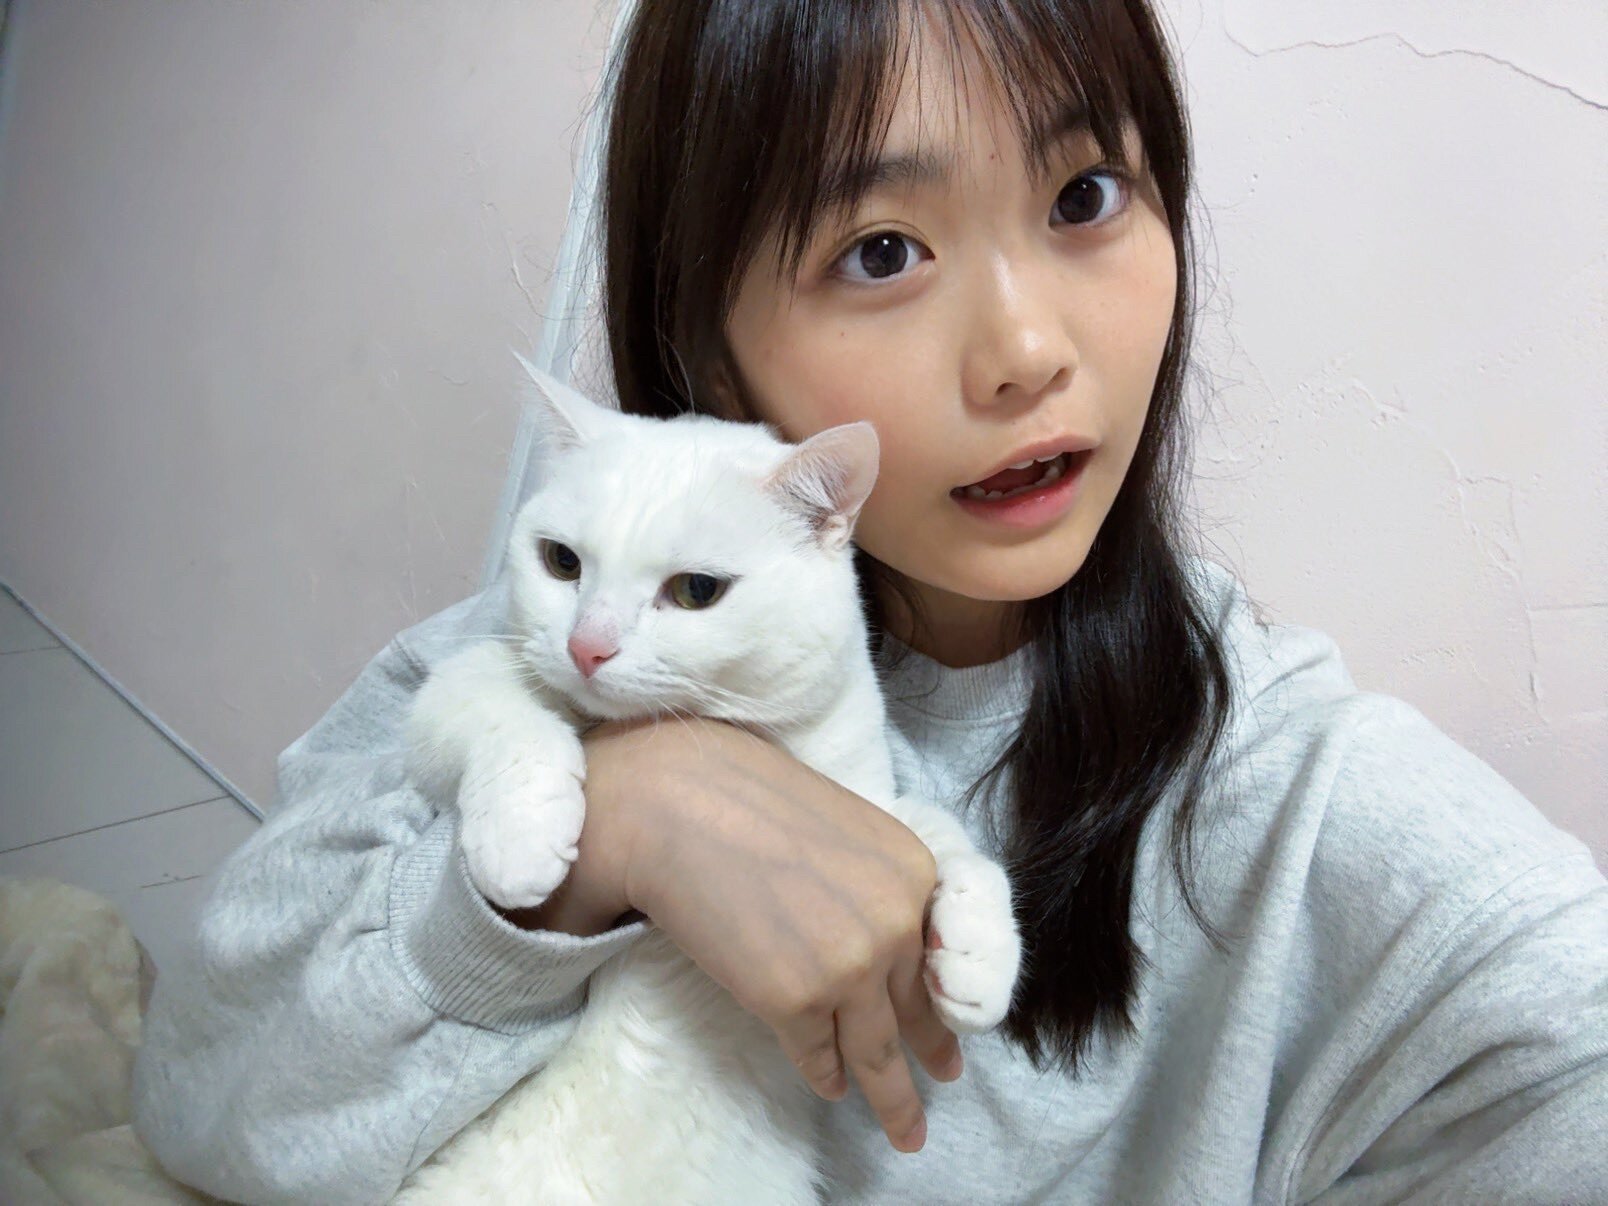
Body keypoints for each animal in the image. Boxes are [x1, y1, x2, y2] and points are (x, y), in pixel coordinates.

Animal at [393, 359, 1022, 1204]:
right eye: (562, 562)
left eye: (696, 591)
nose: (586, 646)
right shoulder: (448, 696)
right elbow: (501, 710)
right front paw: (523, 839)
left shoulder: (862, 802)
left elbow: (936, 833)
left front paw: (981, 954)